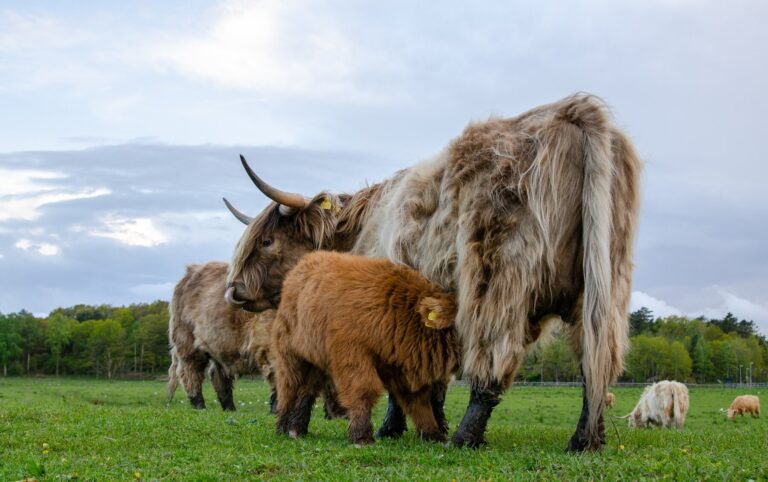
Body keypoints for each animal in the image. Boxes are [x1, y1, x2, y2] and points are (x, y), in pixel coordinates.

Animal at [272, 250, 460, 446]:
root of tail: (305, 261)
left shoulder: (401, 366)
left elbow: (419, 402)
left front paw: (434, 434)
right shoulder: (352, 354)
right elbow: (363, 390)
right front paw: (362, 436)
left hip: (316, 359)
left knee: (306, 391)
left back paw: (297, 429)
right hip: (290, 355)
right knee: (288, 388)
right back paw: (282, 427)